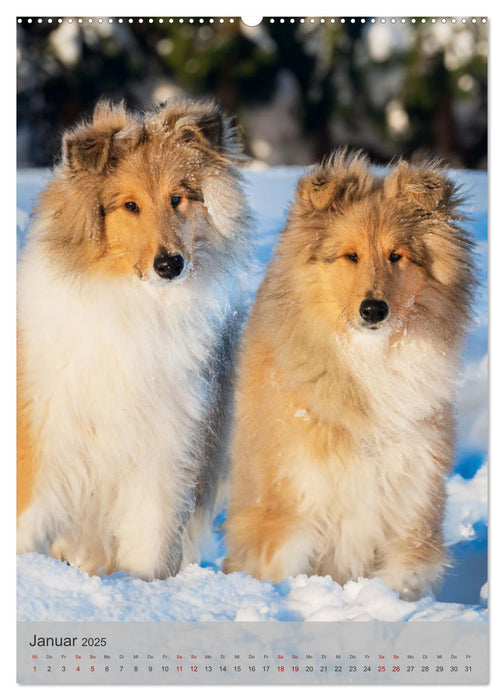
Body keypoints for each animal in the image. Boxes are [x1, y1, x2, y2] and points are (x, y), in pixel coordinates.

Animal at [16, 98, 251, 580]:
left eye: (178, 198)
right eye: (129, 205)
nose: (170, 264)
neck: (136, 304)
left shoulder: (166, 448)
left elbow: (150, 541)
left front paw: (143, 588)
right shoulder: (44, 432)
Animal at [226, 150, 474, 600]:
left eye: (397, 255)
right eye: (350, 255)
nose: (373, 309)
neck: (369, 360)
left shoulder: (411, 512)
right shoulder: (290, 508)